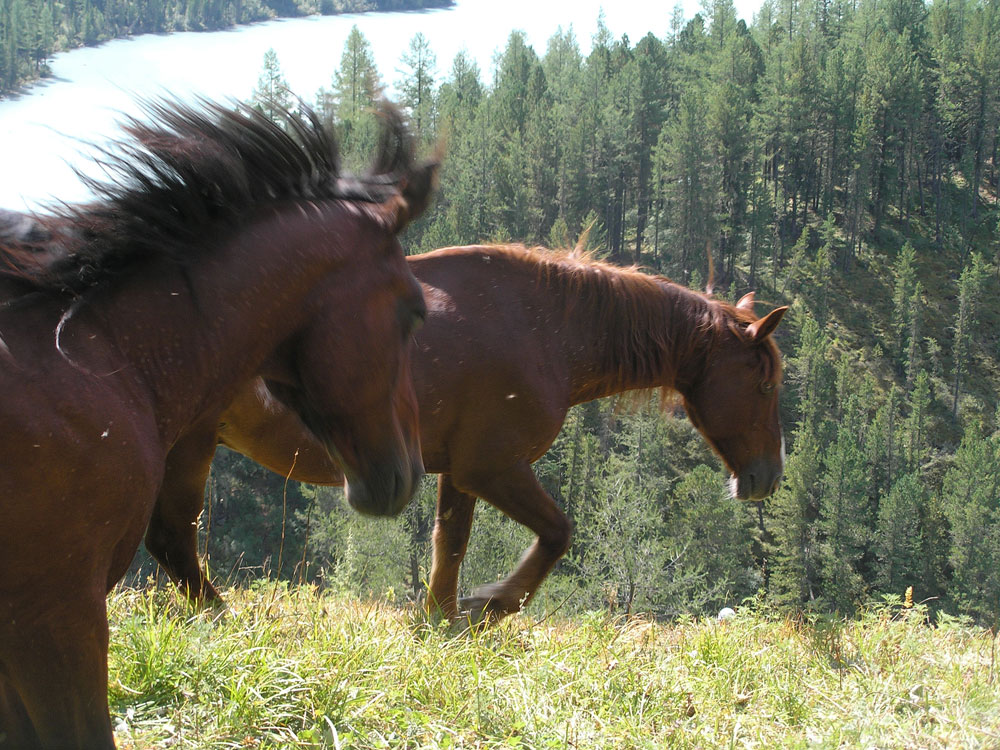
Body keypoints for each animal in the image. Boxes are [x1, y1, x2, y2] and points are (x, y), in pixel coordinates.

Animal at [148, 242, 788, 624]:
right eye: (764, 384)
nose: (766, 478)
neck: (545, 328)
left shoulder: (458, 471)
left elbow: (448, 546)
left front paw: (441, 617)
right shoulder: (493, 466)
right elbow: (557, 533)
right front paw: (492, 604)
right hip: (191, 444)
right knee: (172, 537)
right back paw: (218, 616)